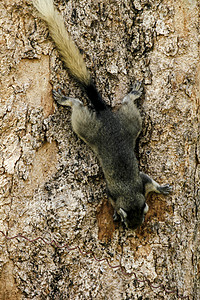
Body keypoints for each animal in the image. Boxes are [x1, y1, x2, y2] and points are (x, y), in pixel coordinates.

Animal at [32, 0, 172, 229]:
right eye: (127, 221)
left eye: (142, 217)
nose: (134, 229)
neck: (128, 193)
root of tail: (106, 115)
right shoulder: (113, 192)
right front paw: (114, 212)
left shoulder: (141, 183)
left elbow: (151, 183)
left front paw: (161, 188)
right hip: (97, 125)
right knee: (83, 105)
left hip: (121, 123)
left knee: (112, 104)